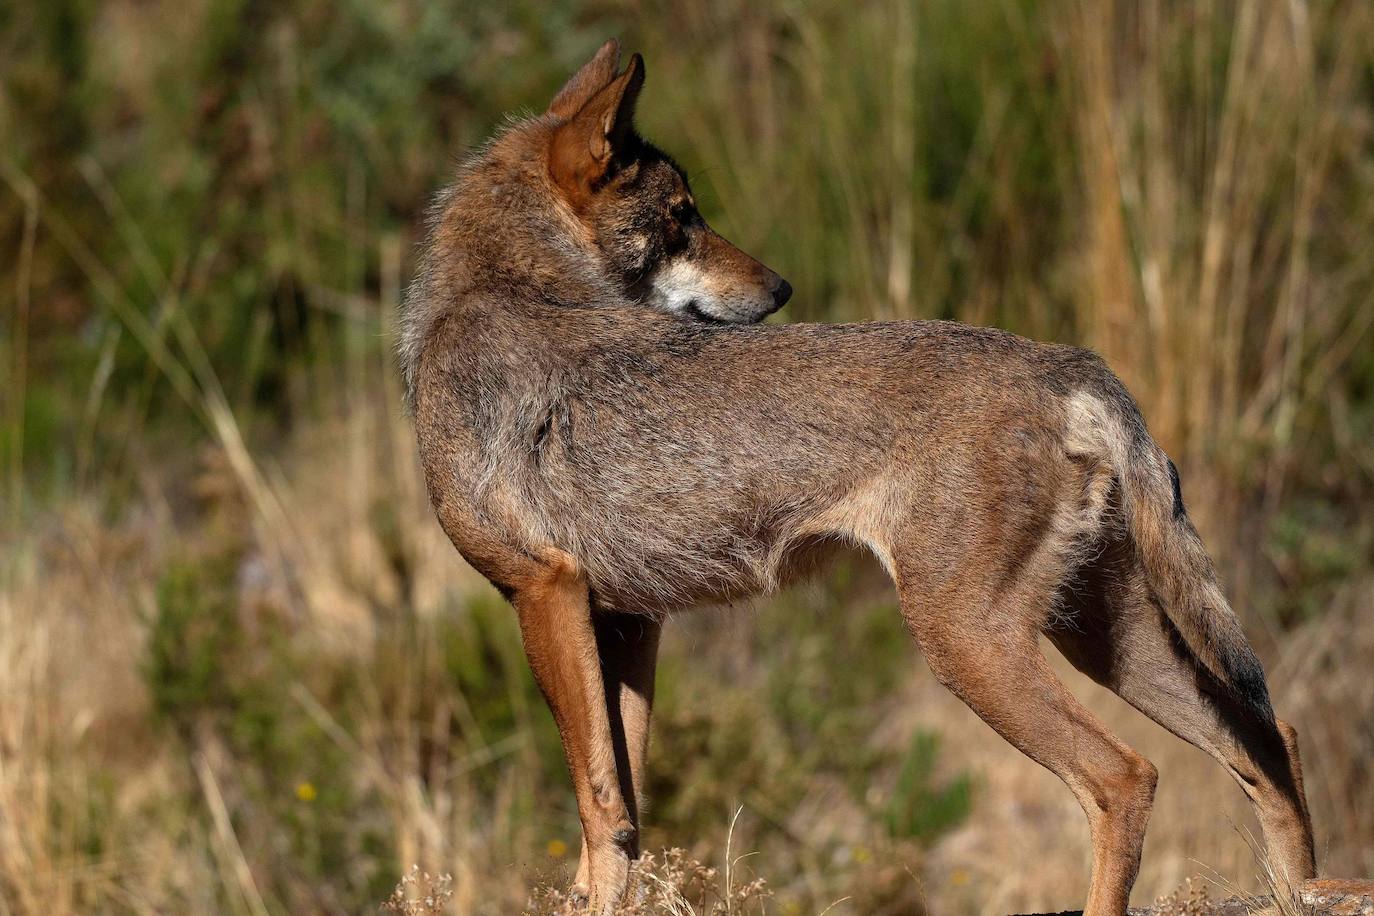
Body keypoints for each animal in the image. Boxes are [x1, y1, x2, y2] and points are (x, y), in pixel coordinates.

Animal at [395, 41, 1308, 916]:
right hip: (1099, 637)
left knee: (1128, 777)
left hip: (971, 645)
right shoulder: (623, 620)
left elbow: (597, 803)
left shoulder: (543, 594)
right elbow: (623, 813)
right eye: (683, 218)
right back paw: (1301, 891)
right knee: (1271, 737)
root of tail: (1067, 363)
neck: (498, 292)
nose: (781, 287)